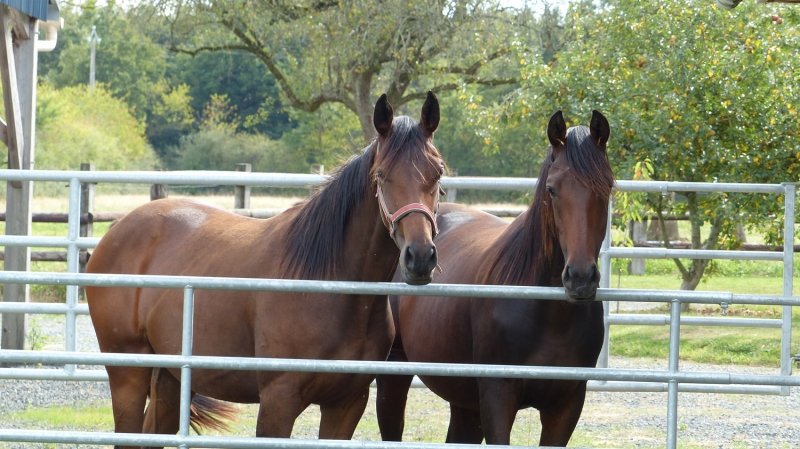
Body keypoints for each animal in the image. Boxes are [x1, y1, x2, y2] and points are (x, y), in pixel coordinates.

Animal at [86, 91, 446, 448]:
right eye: (381, 175)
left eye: (438, 173)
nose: (420, 256)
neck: (330, 285)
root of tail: (115, 233)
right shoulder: (279, 400)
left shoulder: (346, 404)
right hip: (128, 374)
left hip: (170, 378)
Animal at [375, 110, 614, 447]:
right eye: (553, 189)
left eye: (606, 188)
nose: (580, 277)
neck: (549, 314)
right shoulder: (497, 398)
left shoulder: (566, 406)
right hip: (394, 374)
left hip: (464, 401)